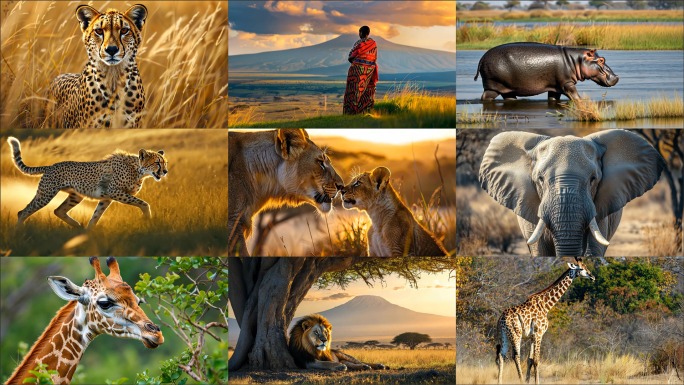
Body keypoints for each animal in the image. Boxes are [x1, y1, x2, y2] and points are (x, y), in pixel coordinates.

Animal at [8, 137, 170, 230]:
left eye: (165, 163)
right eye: (157, 163)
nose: (165, 171)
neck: (138, 170)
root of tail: (51, 166)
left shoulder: (107, 198)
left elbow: (96, 216)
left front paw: (89, 234)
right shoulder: (114, 192)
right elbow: (143, 203)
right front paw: (148, 218)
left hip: (75, 196)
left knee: (58, 210)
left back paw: (79, 228)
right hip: (46, 193)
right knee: (23, 211)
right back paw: (18, 233)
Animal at [476, 42, 620, 100]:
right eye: (601, 60)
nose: (616, 77)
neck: (576, 60)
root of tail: (482, 58)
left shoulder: (555, 87)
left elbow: (553, 98)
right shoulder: (567, 83)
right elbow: (574, 95)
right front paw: (583, 101)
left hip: (507, 89)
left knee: (509, 98)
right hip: (493, 87)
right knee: (485, 97)